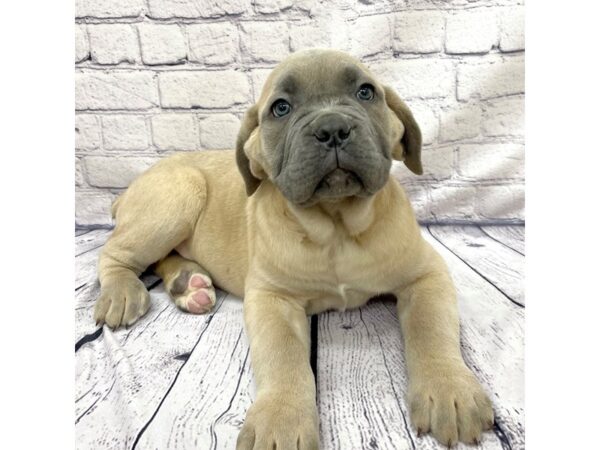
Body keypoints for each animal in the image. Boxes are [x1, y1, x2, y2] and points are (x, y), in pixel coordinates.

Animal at [94, 47, 494, 448]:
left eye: (366, 93)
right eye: (281, 108)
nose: (331, 128)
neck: (335, 227)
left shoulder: (425, 275)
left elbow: (431, 328)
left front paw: (448, 388)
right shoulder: (273, 298)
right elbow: (283, 353)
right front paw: (281, 419)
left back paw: (187, 282)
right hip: (178, 195)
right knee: (114, 254)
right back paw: (123, 292)